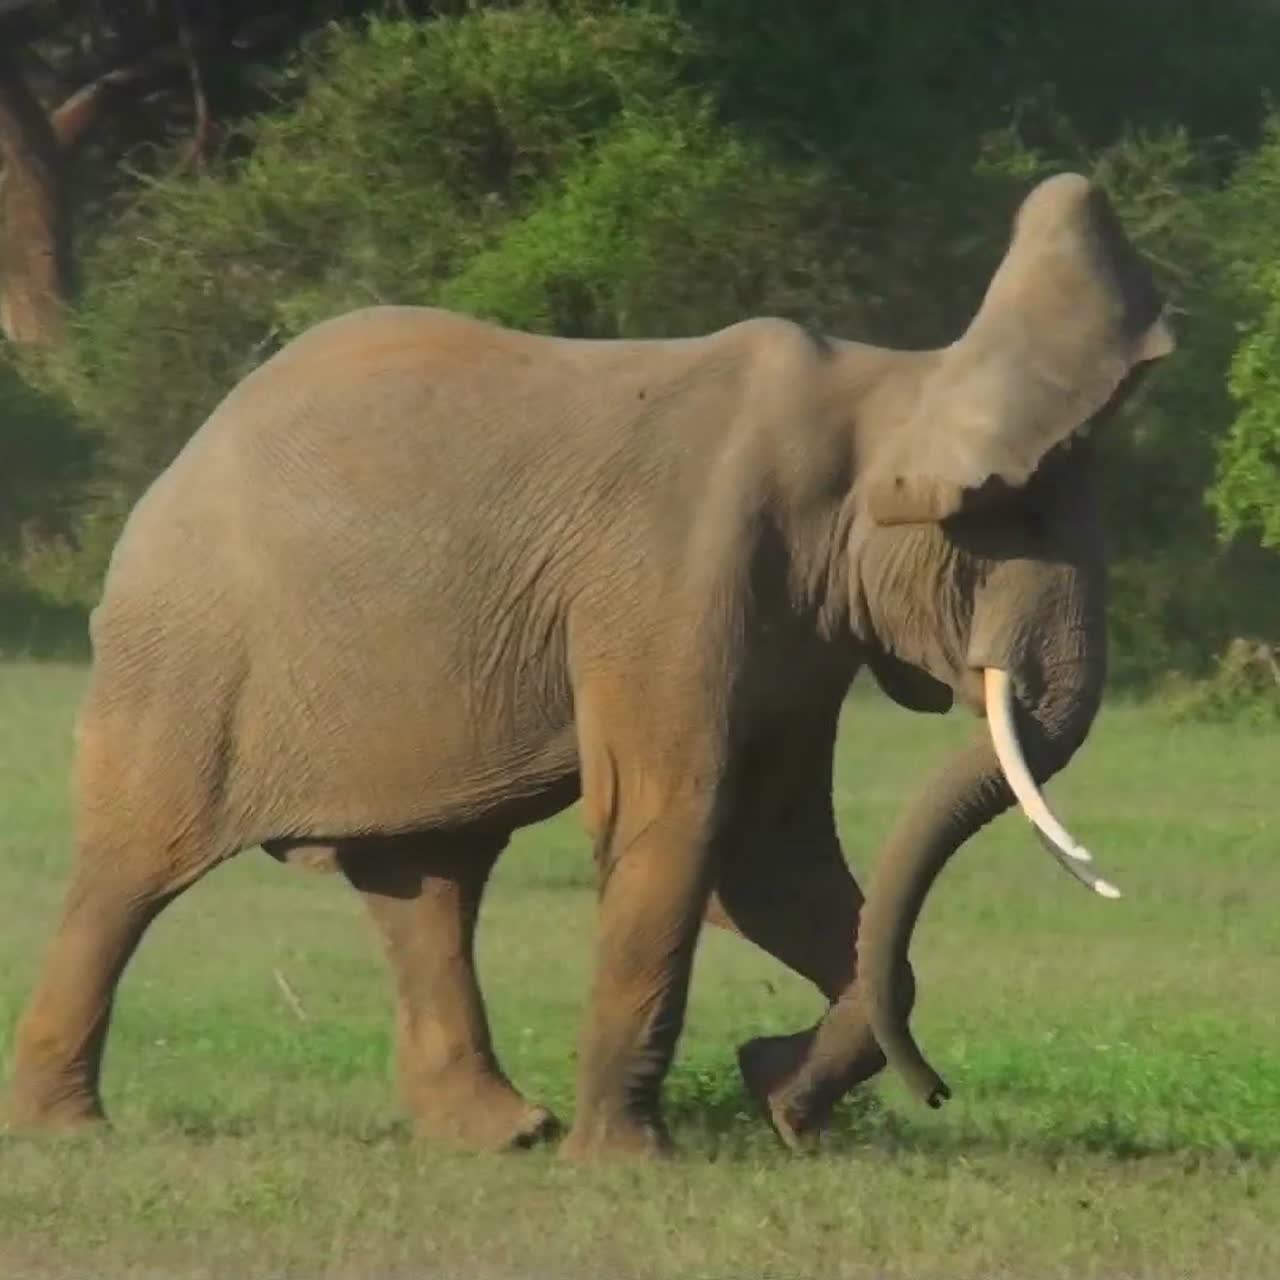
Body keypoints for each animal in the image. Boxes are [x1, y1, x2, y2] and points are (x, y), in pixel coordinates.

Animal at [5, 171, 1174, 1159]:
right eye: (1013, 520)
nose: (935, 1092)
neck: (886, 385)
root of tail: (182, 455)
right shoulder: (678, 567)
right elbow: (679, 816)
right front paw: (634, 1158)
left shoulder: (799, 621)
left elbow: (768, 848)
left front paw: (776, 1099)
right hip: (189, 654)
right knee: (135, 865)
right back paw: (69, 1129)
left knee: (426, 880)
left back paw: (502, 1134)